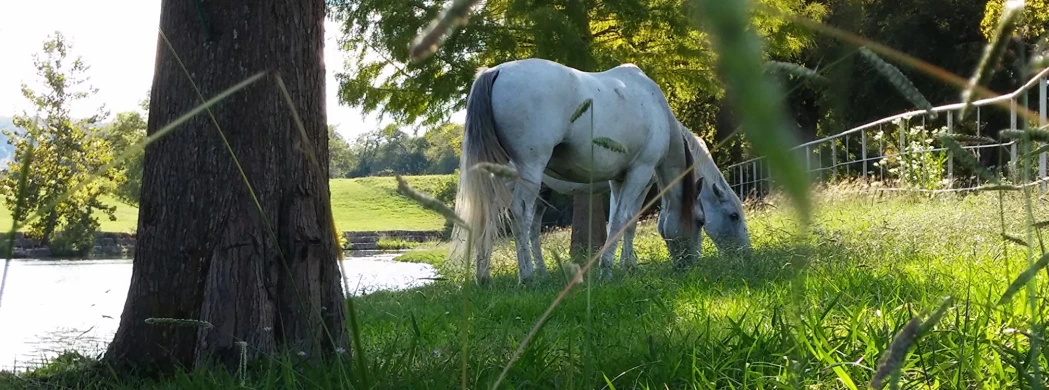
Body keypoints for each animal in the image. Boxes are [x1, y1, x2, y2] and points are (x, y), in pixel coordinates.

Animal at [451, 57, 704, 283]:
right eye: (700, 220)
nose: (691, 263)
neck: (654, 104)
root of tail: (496, 71)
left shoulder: (618, 180)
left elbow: (619, 220)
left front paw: (624, 266)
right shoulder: (640, 172)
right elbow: (622, 220)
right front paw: (607, 270)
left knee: (487, 215)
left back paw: (484, 278)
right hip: (529, 169)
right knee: (520, 213)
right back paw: (528, 277)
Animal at [524, 126, 755, 272]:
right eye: (734, 216)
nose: (747, 255)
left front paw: (627, 264)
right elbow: (626, 222)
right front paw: (627, 265)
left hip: (542, 193)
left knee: (533, 229)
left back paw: (540, 271)